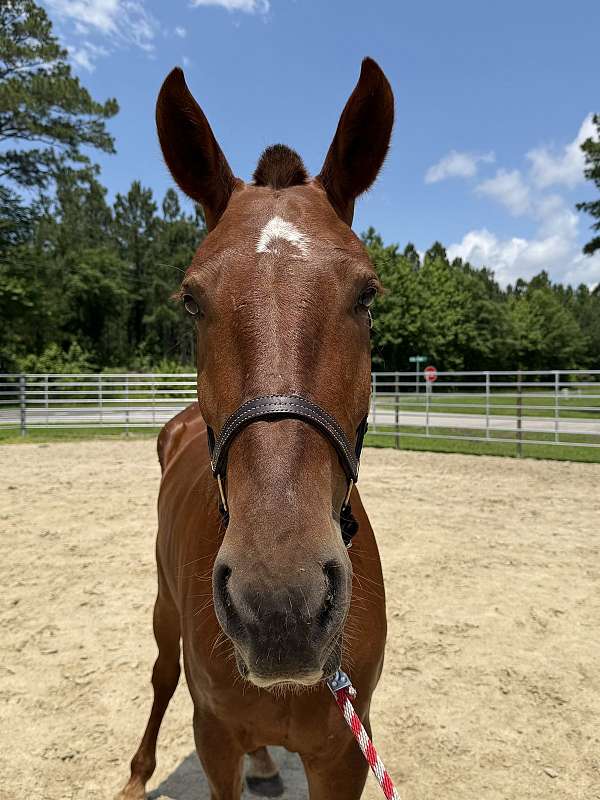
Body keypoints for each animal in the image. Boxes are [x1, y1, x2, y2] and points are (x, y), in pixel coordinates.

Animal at [116, 56, 394, 800]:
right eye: (191, 300)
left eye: (367, 294)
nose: (279, 605)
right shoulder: (212, 736)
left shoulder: (343, 753)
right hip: (163, 613)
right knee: (160, 675)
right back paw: (137, 775)